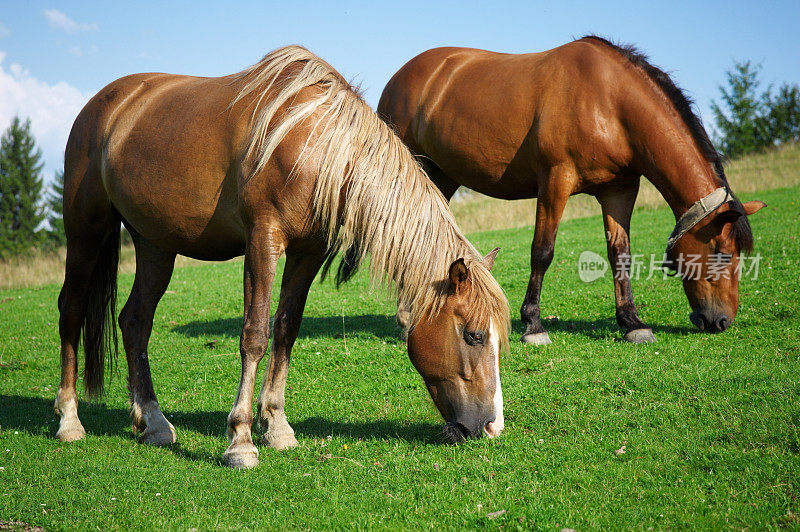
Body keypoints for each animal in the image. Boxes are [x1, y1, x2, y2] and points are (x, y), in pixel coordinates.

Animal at [56, 46, 510, 470]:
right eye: (474, 335)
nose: (492, 427)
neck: (316, 144)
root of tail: (103, 106)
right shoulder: (264, 240)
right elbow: (255, 334)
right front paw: (240, 441)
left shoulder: (308, 252)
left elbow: (286, 331)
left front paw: (276, 425)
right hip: (85, 233)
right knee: (72, 311)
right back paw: (70, 420)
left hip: (155, 245)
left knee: (135, 322)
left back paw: (152, 422)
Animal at [378, 36, 764, 344]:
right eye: (722, 253)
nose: (721, 320)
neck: (609, 102)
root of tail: (401, 76)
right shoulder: (555, 181)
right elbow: (542, 251)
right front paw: (533, 325)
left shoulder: (619, 190)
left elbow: (620, 253)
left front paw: (632, 322)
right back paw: (408, 316)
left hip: (442, 176)